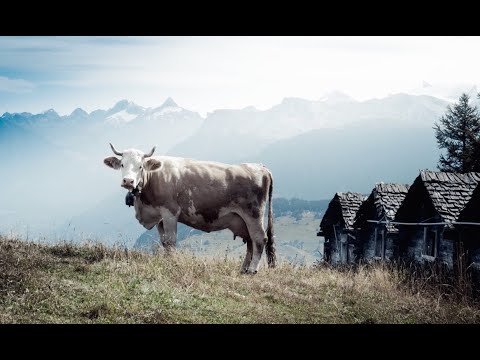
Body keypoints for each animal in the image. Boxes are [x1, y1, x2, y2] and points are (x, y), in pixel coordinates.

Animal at [104, 143, 278, 272]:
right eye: (122, 164)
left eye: (140, 166)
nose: (128, 181)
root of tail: (260, 167)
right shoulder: (159, 215)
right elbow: (164, 242)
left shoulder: (170, 212)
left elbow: (171, 241)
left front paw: (171, 263)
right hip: (242, 219)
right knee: (250, 242)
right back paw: (242, 269)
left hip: (253, 214)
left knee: (259, 239)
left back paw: (252, 270)